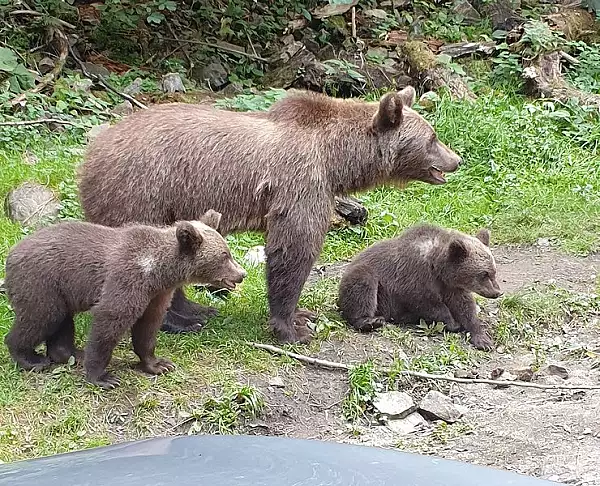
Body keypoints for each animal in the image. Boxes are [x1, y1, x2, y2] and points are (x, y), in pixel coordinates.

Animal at [76, 87, 460, 346]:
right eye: (432, 138)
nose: (456, 160)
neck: (337, 158)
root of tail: (89, 156)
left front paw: (303, 314)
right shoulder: (301, 182)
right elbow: (294, 249)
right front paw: (293, 326)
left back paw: (195, 310)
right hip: (142, 192)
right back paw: (181, 321)